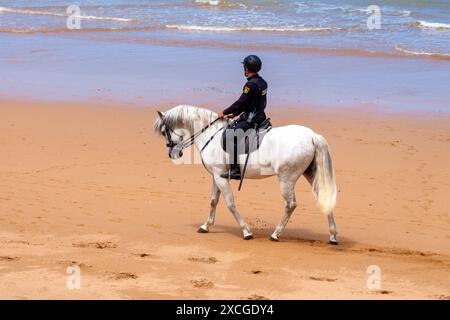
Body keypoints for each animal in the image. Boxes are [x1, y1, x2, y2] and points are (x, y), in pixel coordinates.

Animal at [154, 105, 338, 242]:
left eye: (164, 132)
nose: (173, 154)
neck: (211, 134)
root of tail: (312, 136)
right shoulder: (217, 176)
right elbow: (214, 201)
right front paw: (206, 226)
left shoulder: (221, 178)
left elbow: (230, 204)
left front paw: (246, 231)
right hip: (310, 174)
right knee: (325, 197)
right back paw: (333, 236)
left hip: (286, 179)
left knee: (290, 205)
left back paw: (275, 234)